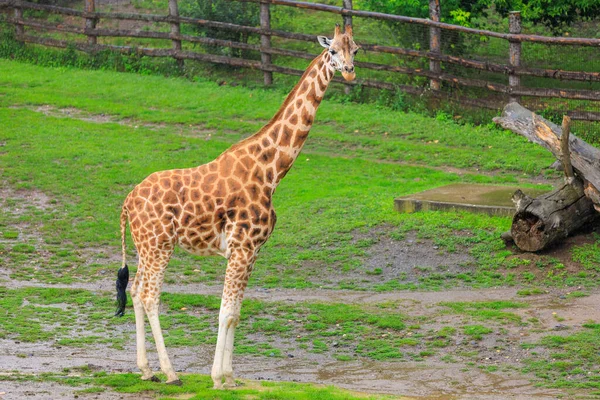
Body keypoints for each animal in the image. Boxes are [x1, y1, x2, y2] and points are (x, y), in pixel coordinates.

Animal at [116, 24, 360, 388]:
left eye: (354, 49)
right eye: (332, 51)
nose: (349, 71)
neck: (272, 171)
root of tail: (127, 201)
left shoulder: (252, 252)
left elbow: (236, 314)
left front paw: (229, 377)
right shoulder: (242, 247)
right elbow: (226, 312)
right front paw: (218, 378)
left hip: (146, 246)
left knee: (134, 291)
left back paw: (147, 370)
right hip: (159, 245)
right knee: (149, 296)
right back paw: (171, 373)